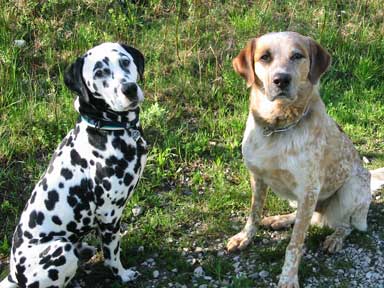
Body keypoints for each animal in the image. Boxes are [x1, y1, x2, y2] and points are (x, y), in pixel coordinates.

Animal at [0, 42, 147, 288]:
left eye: (125, 61)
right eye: (99, 72)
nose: (129, 89)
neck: (106, 129)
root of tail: (15, 274)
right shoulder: (109, 214)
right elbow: (112, 253)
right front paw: (122, 274)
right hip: (61, 250)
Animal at [226, 31, 384, 288]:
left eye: (297, 55)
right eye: (265, 57)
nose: (281, 80)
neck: (277, 127)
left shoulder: (310, 189)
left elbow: (295, 244)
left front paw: (288, 278)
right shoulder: (257, 177)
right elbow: (254, 213)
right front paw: (245, 237)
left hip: (350, 189)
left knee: (346, 225)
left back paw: (335, 239)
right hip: (301, 200)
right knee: (307, 217)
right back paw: (281, 219)